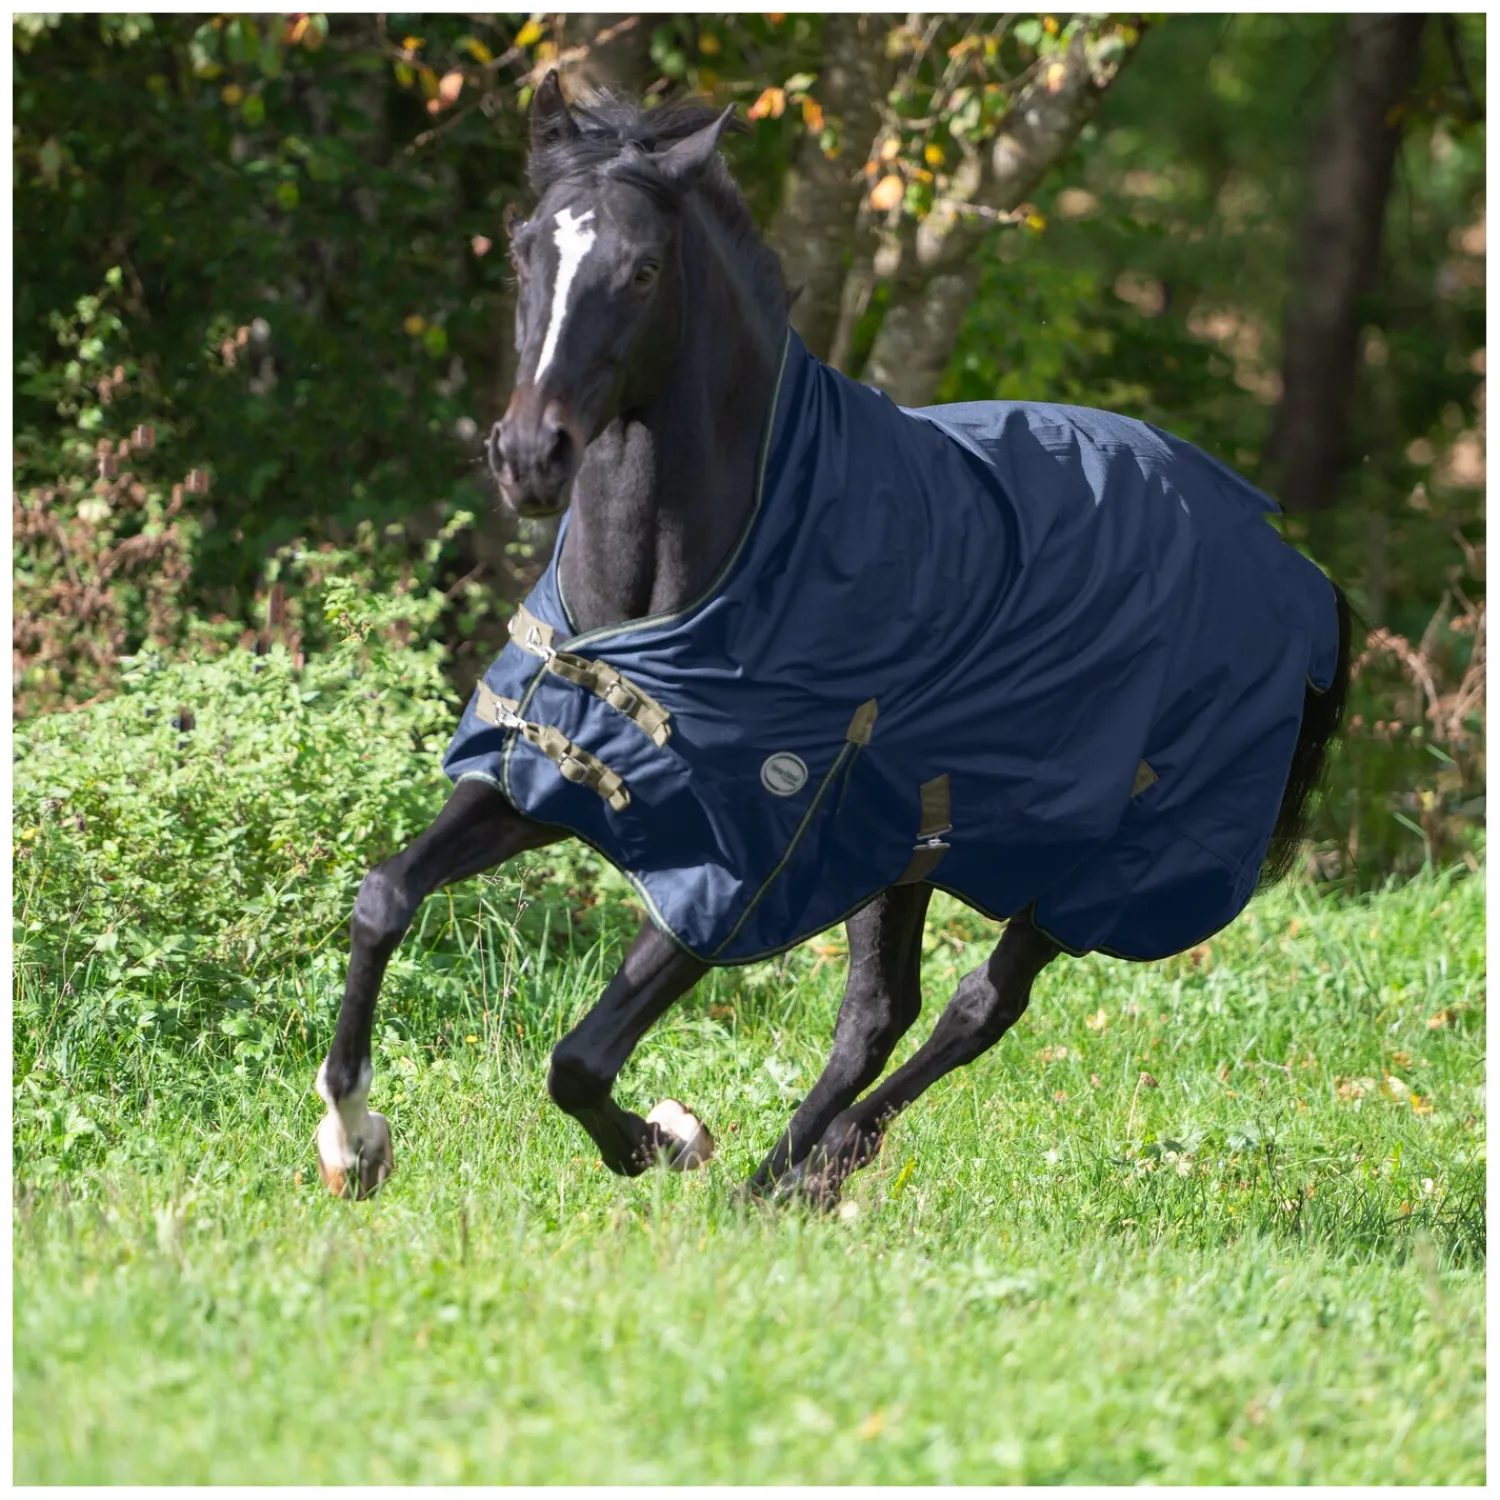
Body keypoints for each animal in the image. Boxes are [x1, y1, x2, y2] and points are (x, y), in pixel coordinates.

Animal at [314, 73, 1351, 1205]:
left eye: (643, 268)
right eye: (523, 249)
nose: (529, 457)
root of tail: (1294, 571)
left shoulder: (751, 861)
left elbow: (578, 1059)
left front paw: (666, 1138)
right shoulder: (555, 772)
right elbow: (384, 896)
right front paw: (354, 1139)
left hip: (1081, 862)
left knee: (979, 1004)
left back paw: (808, 1168)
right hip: (912, 841)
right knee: (878, 1013)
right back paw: (787, 1180)